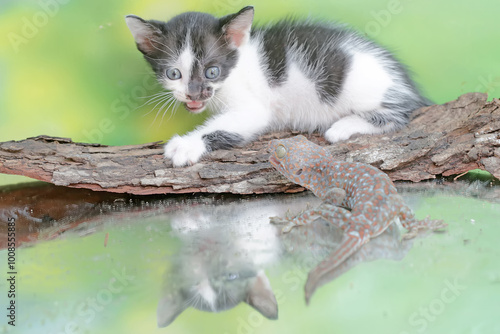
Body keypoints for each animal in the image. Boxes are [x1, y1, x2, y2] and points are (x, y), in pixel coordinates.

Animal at [126, 5, 430, 167]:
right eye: (173, 73)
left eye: (212, 72)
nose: (194, 93)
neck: (237, 66)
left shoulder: (255, 107)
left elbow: (230, 123)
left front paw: (186, 145)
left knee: (398, 114)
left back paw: (343, 127)